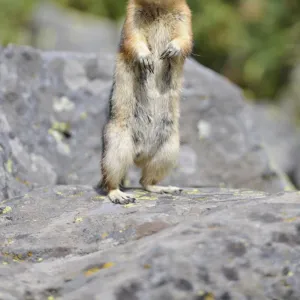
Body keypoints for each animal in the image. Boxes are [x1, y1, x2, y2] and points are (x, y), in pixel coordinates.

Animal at [100, 0, 192, 204]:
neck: (158, 9)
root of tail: (139, 155)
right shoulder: (131, 17)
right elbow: (133, 38)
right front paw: (146, 59)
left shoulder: (185, 16)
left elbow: (185, 38)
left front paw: (171, 50)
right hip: (117, 145)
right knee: (110, 180)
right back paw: (119, 195)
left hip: (169, 149)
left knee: (145, 181)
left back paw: (166, 188)